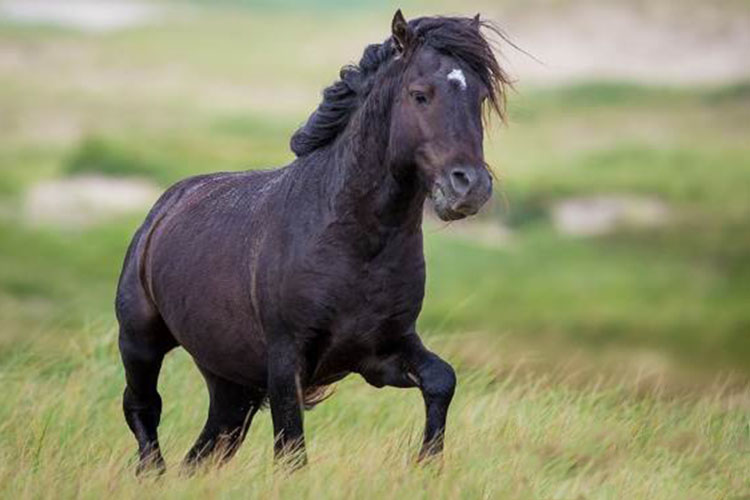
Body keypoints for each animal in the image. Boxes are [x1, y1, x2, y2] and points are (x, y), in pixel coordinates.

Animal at [114, 9, 516, 474]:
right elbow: (291, 448)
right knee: (143, 408)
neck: (353, 242)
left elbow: (441, 379)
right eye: (420, 95)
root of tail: (162, 210)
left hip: (228, 377)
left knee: (211, 441)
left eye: (480, 97)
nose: (469, 187)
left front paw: (427, 464)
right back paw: (151, 473)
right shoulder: (287, 358)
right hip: (140, 340)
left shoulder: (381, 353)